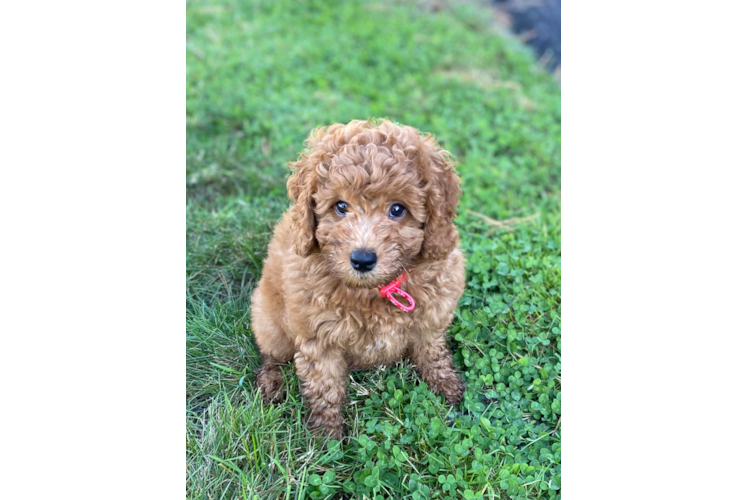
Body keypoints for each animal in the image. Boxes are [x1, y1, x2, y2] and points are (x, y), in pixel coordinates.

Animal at [250, 118, 462, 438]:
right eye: (340, 206)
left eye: (397, 209)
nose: (362, 259)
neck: (373, 290)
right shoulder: (318, 337)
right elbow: (325, 387)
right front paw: (326, 438)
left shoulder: (432, 314)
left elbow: (432, 351)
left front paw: (447, 386)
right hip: (268, 320)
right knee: (272, 354)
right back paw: (271, 383)